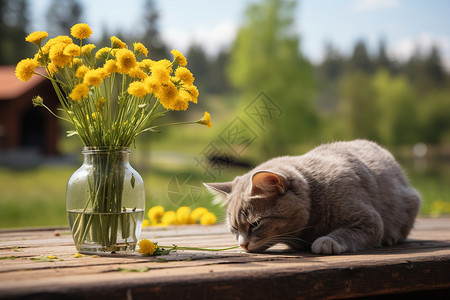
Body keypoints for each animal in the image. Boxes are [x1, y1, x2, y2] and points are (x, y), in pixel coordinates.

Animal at [205, 139, 422, 254]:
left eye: (255, 224)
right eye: (234, 228)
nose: (242, 243)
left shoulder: (370, 222)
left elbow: (347, 233)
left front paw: (326, 242)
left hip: (410, 200)